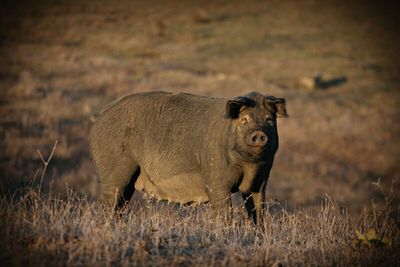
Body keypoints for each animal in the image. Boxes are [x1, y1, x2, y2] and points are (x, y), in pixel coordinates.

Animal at [88, 92, 286, 224]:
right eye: (244, 119)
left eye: (268, 119)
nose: (259, 133)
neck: (250, 165)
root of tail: (98, 119)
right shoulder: (216, 180)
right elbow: (223, 211)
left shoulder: (261, 181)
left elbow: (257, 212)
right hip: (114, 171)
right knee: (109, 202)